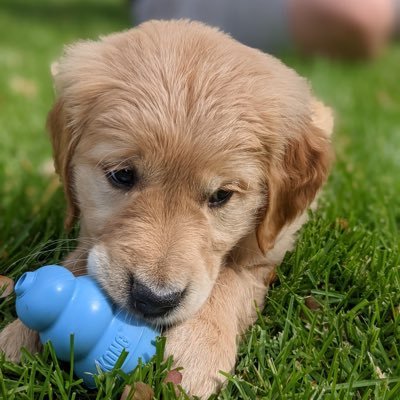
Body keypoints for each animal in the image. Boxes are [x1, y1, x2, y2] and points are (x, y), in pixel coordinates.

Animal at [0, 19, 332, 396]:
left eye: (221, 195)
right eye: (122, 175)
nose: (153, 300)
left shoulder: (268, 249)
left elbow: (233, 278)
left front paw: (198, 351)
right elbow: (81, 256)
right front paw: (20, 333)